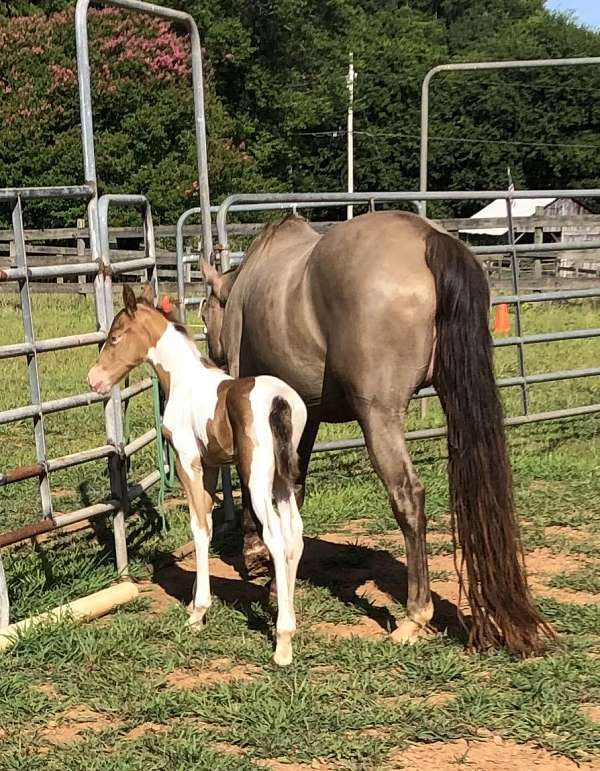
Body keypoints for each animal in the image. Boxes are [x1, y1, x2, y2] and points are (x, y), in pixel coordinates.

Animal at [87, 284, 307, 666]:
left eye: (115, 337)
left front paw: (197, 612)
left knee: (277, 539)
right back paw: (287, 613)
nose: (94, 379)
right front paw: (193, 602)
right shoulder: (212, 465)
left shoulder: (188, 460)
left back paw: (282, 642)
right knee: (295, 534)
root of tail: (280, 400)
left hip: (256, 478)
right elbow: (205, 519)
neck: (184, 381)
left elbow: (200, 527)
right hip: (282, 479)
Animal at [201, 210, 553, 656]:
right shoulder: (305, 415)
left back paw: (414, 617)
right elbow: (293, 486)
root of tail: (428, 238)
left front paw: (257, 553)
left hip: (379, 416)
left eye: (203, 314)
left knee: (408, 494)